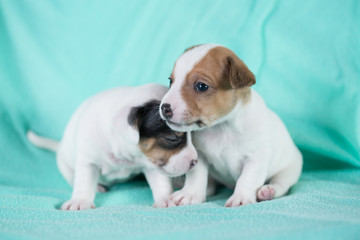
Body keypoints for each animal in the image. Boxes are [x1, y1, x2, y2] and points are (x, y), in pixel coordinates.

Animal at [27, 83, 197, 210]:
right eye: (172, 138)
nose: (195, 162)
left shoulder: (150, 163)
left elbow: (160, 181)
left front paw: (165, 198)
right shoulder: (87, 160)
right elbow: (84, 180)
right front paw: (80, 200)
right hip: (65, 166)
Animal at [159, 44, 302, 207]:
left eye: (201, 86)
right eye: (171, 81)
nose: (164, 108)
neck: (222, 127)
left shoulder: (256, 158)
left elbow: (248, 178)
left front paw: (241, 197)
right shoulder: (199, 155)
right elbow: (196, 176)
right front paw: (190, 194)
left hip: (289, 170)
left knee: (281, 185)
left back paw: (268, 191)